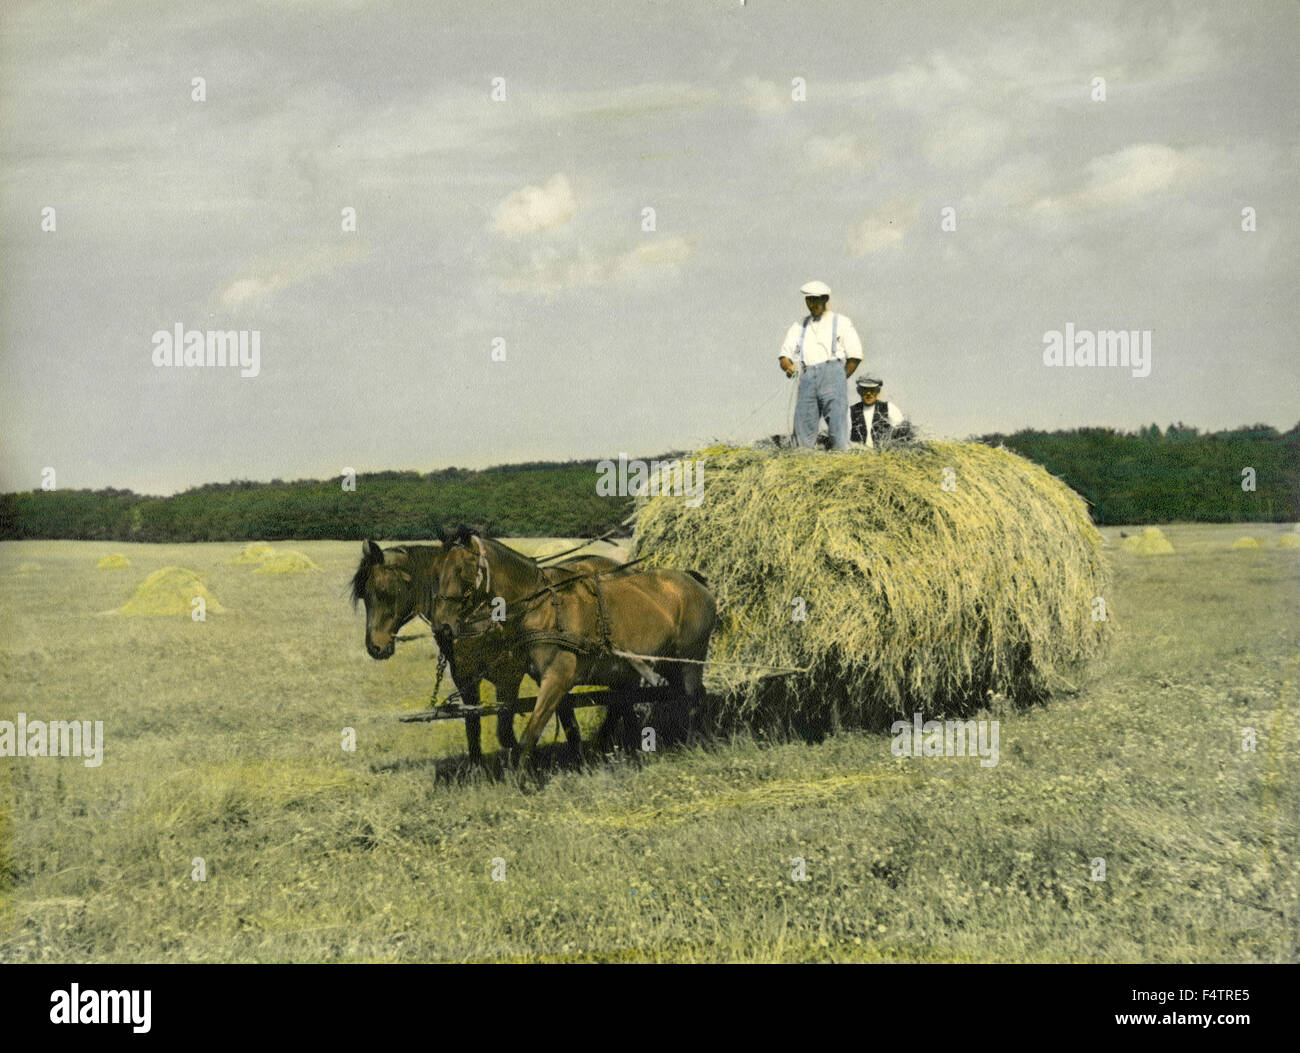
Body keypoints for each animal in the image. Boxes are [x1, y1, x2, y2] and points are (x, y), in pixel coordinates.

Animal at [431, 525, 717, 764]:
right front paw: (581, 760)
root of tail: (694, 580)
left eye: (460, 569)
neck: (542, 607)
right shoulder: (548, 679)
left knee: (693, 697)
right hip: (665, 664)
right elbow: (566, 724)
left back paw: (693, 743)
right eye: (437, 571)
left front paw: (521, 779)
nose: (441, 626)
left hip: (690, 659)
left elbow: (531, 732)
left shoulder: (556, 678)